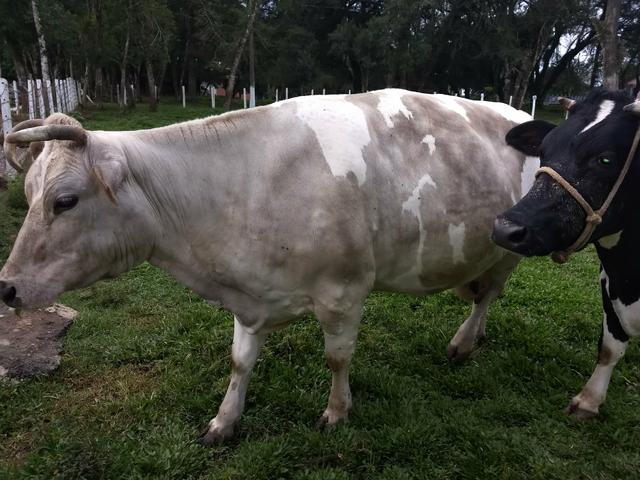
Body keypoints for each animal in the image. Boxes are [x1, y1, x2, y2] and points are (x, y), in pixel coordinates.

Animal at [1, 89, 536, 443]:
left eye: (64, 201)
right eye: (27, 193)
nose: (6, 288)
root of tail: (517, 111)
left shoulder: (345, 291)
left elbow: (337, 358)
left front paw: (336, 413)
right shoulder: (249, 297)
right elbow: (240, 361)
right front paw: (224, 421)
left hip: (509, 247)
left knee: (488, 295)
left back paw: (464, 342)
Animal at [492, 88, 640, 419]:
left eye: (605, 159)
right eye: (544, 151)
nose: (507, 228)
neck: (630, 278)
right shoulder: (608, 286)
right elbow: (609, 347)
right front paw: (588, 401)